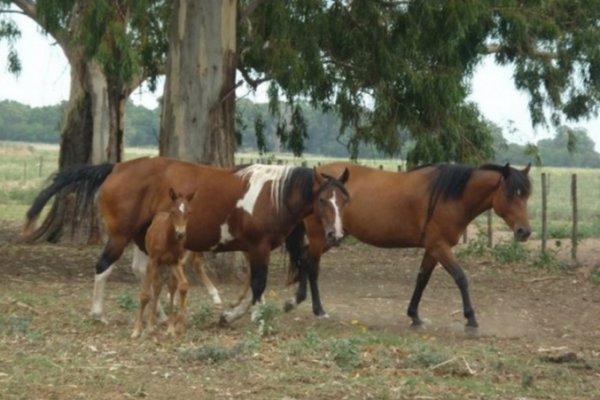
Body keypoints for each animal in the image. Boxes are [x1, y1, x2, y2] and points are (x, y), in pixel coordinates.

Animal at [25, 157, 350, 324]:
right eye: (324, 200)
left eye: (344, 200)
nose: (335, 235)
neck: (271, 194)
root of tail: (116, 167)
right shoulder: (258, 247)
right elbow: (258, 284)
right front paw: (256, 320)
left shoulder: (253, 248)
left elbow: (252, 286)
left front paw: (230, 314)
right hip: (120, 236)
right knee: (102, 267)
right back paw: (98, 314)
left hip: (142, 238)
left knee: (143, 272)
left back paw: (158, 315)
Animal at [132, 189, 195, 340]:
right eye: (173, 211)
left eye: (189, 212)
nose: (180, 234)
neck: (168, 239)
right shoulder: (152, 261)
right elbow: (145, 294)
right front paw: (137, 329)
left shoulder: (175, 262)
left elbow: (183, 285)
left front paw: (178, 326)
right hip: (157, 263)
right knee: (158, 285)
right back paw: (150, 324)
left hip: (168, 265)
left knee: (170, 286)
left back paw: (167, 326)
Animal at [284, 162, 532, 334]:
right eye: (509, 194)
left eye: (527, 196)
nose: (525, 231)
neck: (449, 197)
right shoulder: (439, 246)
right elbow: (461, 278)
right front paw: (471, 320)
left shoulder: (433, 248)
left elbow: (422, 279)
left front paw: (414, 316)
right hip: (321, 237)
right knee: (313, 267)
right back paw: (318, 310)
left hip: (330, 237)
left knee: (304, 258)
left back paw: (296, 300)